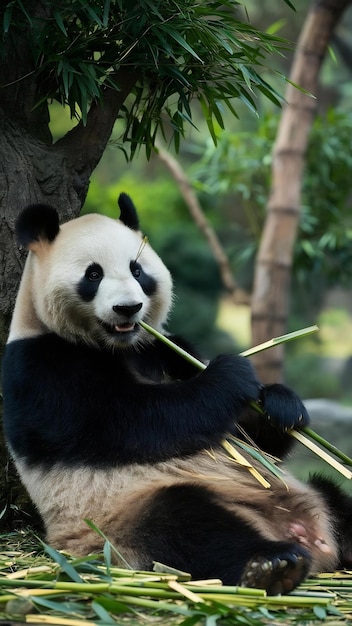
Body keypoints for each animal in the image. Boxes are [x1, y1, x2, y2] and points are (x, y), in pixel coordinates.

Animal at [2, 195, 352, 596]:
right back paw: (273, 565)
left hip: (309, 494)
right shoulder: (40, 367)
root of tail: (310, 537)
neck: (118, 346)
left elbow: (255, 444)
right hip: (119, 521)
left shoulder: (164, 349)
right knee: (187, 524)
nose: (128, 308)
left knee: (336, 496)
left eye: (137, 270)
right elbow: (132, 422)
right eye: (93, 275)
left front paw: (281, 406)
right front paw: (232, 375)